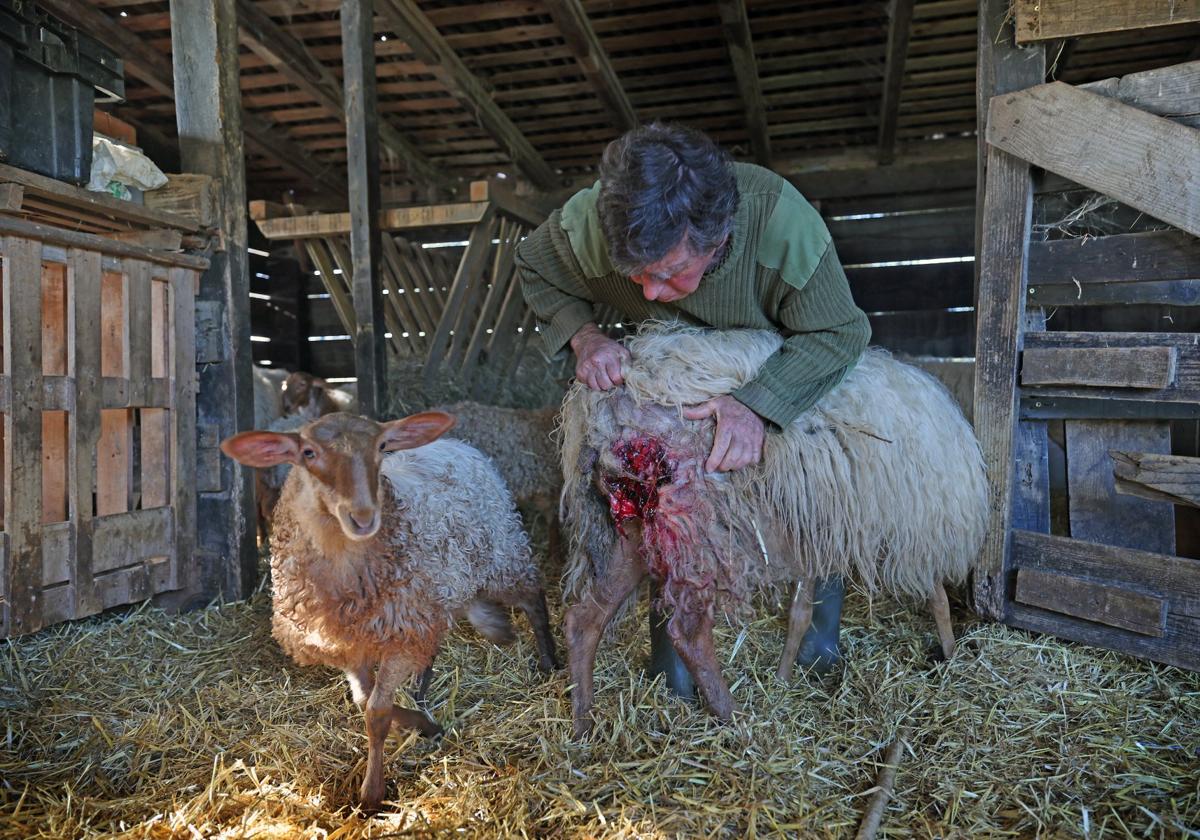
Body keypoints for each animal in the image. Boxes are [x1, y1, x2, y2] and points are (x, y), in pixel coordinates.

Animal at [223, 412, 559, 806]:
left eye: (382, 447)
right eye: (308, 452)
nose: (363, 516)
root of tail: (456, 443)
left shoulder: (399, 636)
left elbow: (377, 712)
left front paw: (372, 793)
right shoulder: (348, 646)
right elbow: (363, 699)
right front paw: (421, 724)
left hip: (502, 556)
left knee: (534, 599)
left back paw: (549, 661)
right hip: (439, 591)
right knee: (441, 635)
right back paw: (425, 687)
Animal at [556, 324, 988, 729]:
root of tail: (619, 396)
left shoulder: (813, 532)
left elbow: (800, 612)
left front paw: (782, 676)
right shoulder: (922, 522)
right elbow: (938, 598)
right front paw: (950, 651)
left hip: (631, 526)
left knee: (584, 619)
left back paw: (583, 721)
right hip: (701, 522)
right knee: (688, 632)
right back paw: (734, 719)